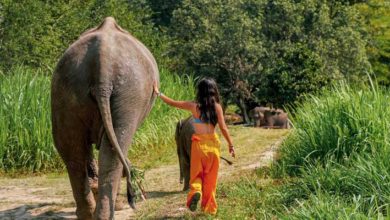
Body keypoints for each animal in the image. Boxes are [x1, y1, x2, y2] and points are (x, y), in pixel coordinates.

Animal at [50, 17, 158, 220]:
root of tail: (104, 63)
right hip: (130, 93)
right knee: (114, 151)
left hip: (67, 87)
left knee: (71, 149)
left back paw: (87, 214)